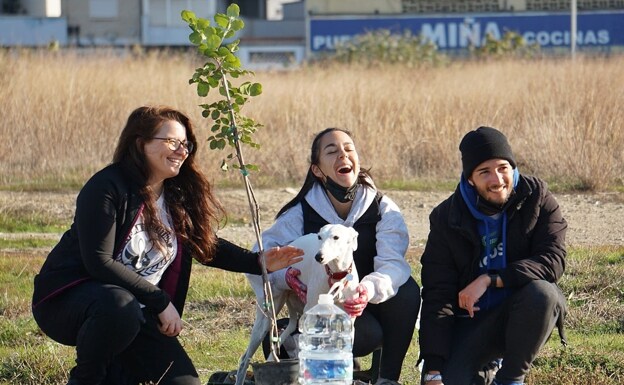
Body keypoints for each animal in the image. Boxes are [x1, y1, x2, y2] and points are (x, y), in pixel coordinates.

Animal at [235, 222, 360, 384]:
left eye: (336, 237)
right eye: (319, 237)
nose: (318, 257)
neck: (336, 277)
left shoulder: (349, 321)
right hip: (267, 315)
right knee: (245, 359)